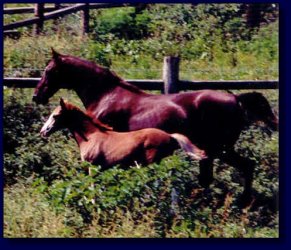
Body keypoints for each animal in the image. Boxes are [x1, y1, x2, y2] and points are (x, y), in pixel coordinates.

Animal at [33, 49, 280, 203]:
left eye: (48, 71)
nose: (37, 96)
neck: (105, 95)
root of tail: (236, 99)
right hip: (215, 150)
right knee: (225, 172)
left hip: (219, 148)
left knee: (241, 167)